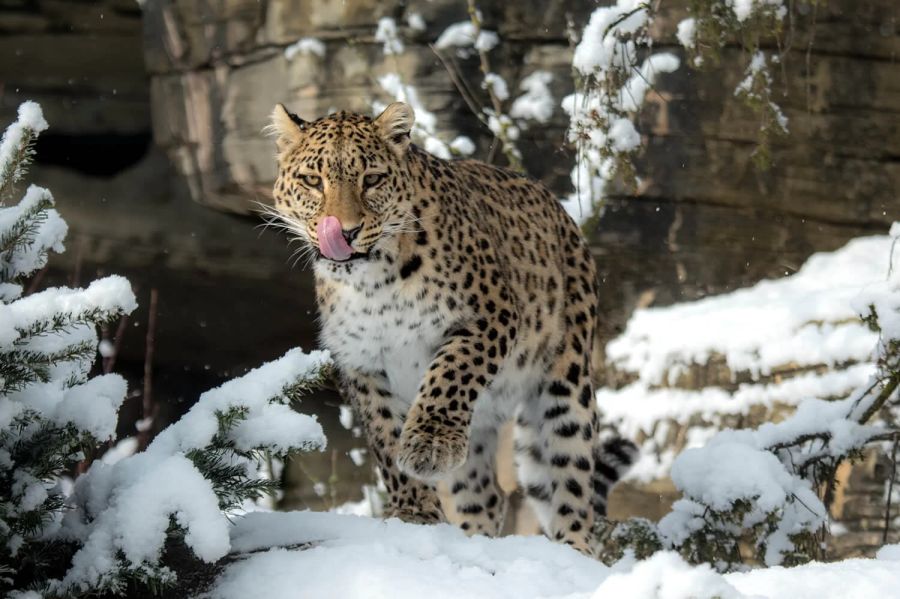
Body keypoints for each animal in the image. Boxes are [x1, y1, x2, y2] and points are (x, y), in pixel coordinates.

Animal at [266, 101, 635, 554]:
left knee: (571, 480)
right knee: (487, 494)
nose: (345, 232)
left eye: (372, 179)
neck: (371, 283)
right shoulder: (361, 362)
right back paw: (473, 541)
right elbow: (386, 434)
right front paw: (414, 509)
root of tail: (563, 215)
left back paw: (573, 548)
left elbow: (450, 374)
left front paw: (430, 445)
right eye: (312, 181)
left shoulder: (489, 316)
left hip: (567, 383)